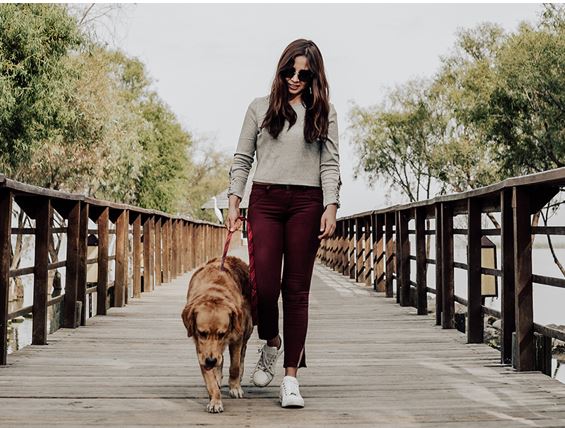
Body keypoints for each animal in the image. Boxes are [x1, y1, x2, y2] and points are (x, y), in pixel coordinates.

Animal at [182, 256, 252, 412]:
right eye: (202, 333)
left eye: (222, 334)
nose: (210, 361)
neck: (214, 293)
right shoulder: (201, 348)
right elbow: (210, 379)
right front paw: (215, 400)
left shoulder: (236, 337)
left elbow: (235, 366)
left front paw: (234, 387)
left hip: (247, 327)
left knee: (242, 354)